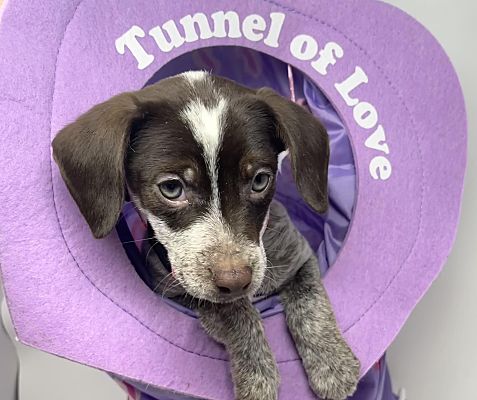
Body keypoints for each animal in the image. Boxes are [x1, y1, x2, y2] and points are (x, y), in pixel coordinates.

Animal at [51, 72, 356, 400]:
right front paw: (257, 374)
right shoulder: (177, 290)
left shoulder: (298, 256)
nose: (235, 280)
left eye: (260, 180)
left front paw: (333, 364)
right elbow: (232, 310)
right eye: (171, 188)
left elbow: (310, 303)